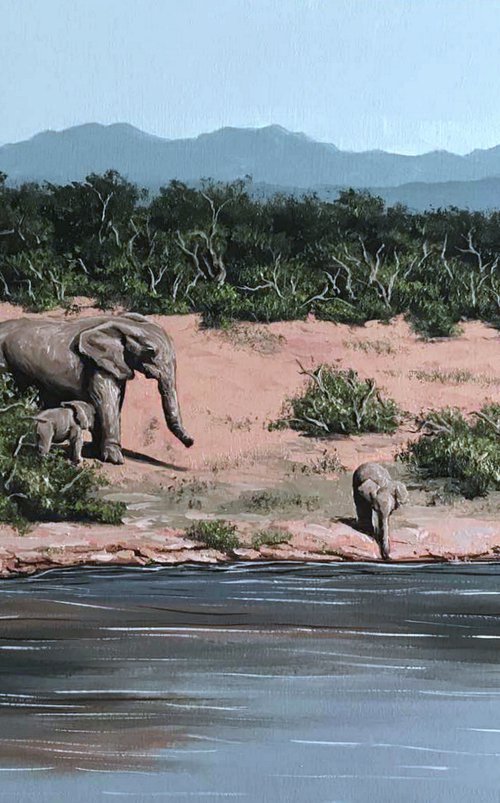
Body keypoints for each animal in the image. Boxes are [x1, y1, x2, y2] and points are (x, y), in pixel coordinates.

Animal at [0, 313, 194, 464]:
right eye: (151, 351)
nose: (191, 442)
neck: (119, 322)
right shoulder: (96, 362)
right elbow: (106, 399)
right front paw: (115, 460)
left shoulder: (114, 364)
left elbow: (115, 400)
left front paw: (95, 452)